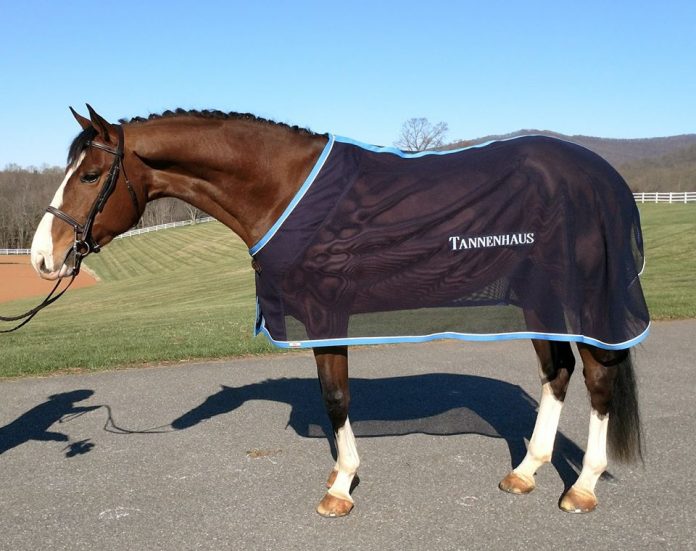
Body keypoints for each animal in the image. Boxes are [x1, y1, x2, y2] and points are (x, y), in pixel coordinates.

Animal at [30, 105, 648, 517]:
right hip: (536, 300)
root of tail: (603, 177)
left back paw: (582, 488)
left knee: (596, 380)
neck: (285, 190)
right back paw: (525, 472)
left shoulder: (326, 312)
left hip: (579, 298)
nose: (42, 257)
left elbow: (335, 397)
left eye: (90, 175)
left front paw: (340, 487)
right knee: (557, 372)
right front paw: (339, 476)